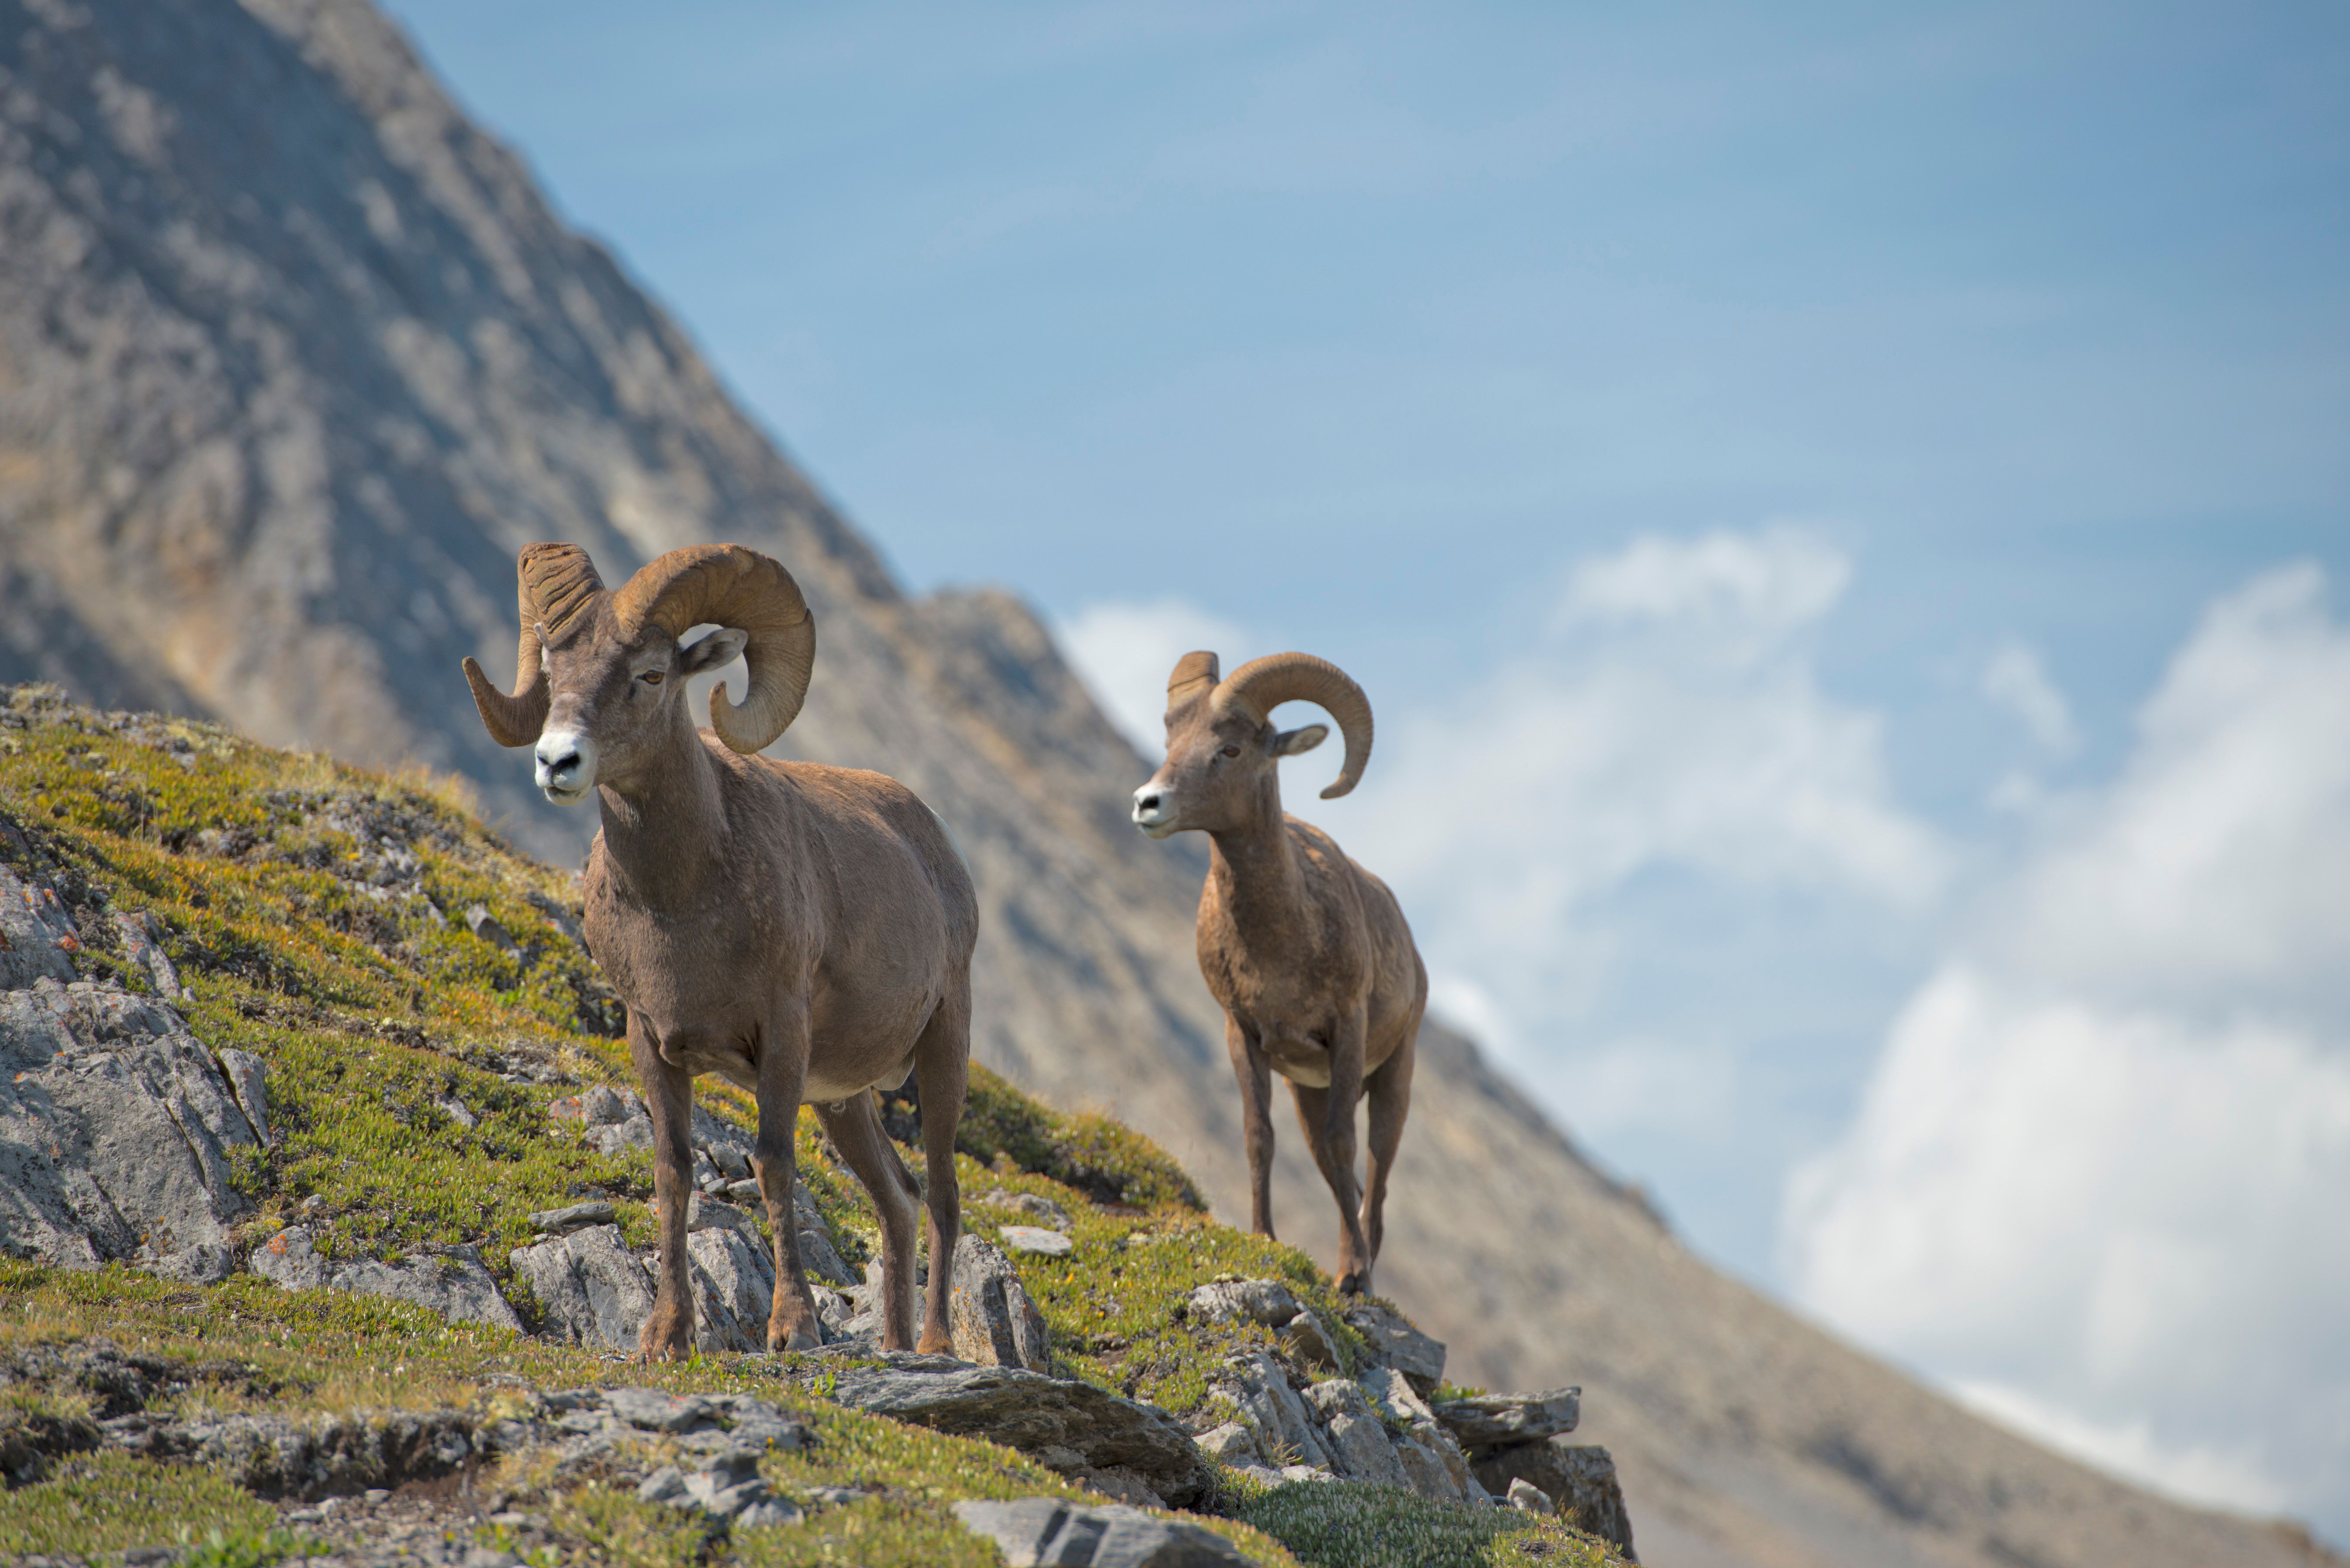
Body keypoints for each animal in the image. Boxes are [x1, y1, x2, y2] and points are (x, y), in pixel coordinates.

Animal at [463, 542, 977, 1361]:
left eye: (650, 674)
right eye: (554, 667)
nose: (556, 762)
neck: (683, 901)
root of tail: (940, 851)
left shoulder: (781, 1035)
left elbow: (772, 1164)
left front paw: (792, 1329)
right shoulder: (651, 1040)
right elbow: (673, 1173)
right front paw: (666, 1337)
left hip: (942, 1050)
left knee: (943, 1197)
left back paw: (932, 1349)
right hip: (843, 1100)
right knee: (897, 1200)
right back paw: (895, 1347)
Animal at [1131, 652, 1425, 1295]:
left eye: (1231, 749)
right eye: (1171, 740)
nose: (1146, 804)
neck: (1281, 943)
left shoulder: (1346, 1030)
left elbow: (1344, 1145)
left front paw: (1352, 1275)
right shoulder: (1244, 1035)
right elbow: (1258, 1138)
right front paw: (1265, 1237)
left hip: (1393, 1075)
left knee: (1375, 1175)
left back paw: (1366, 1267)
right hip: (1306, 1091)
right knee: (1337, 1170)